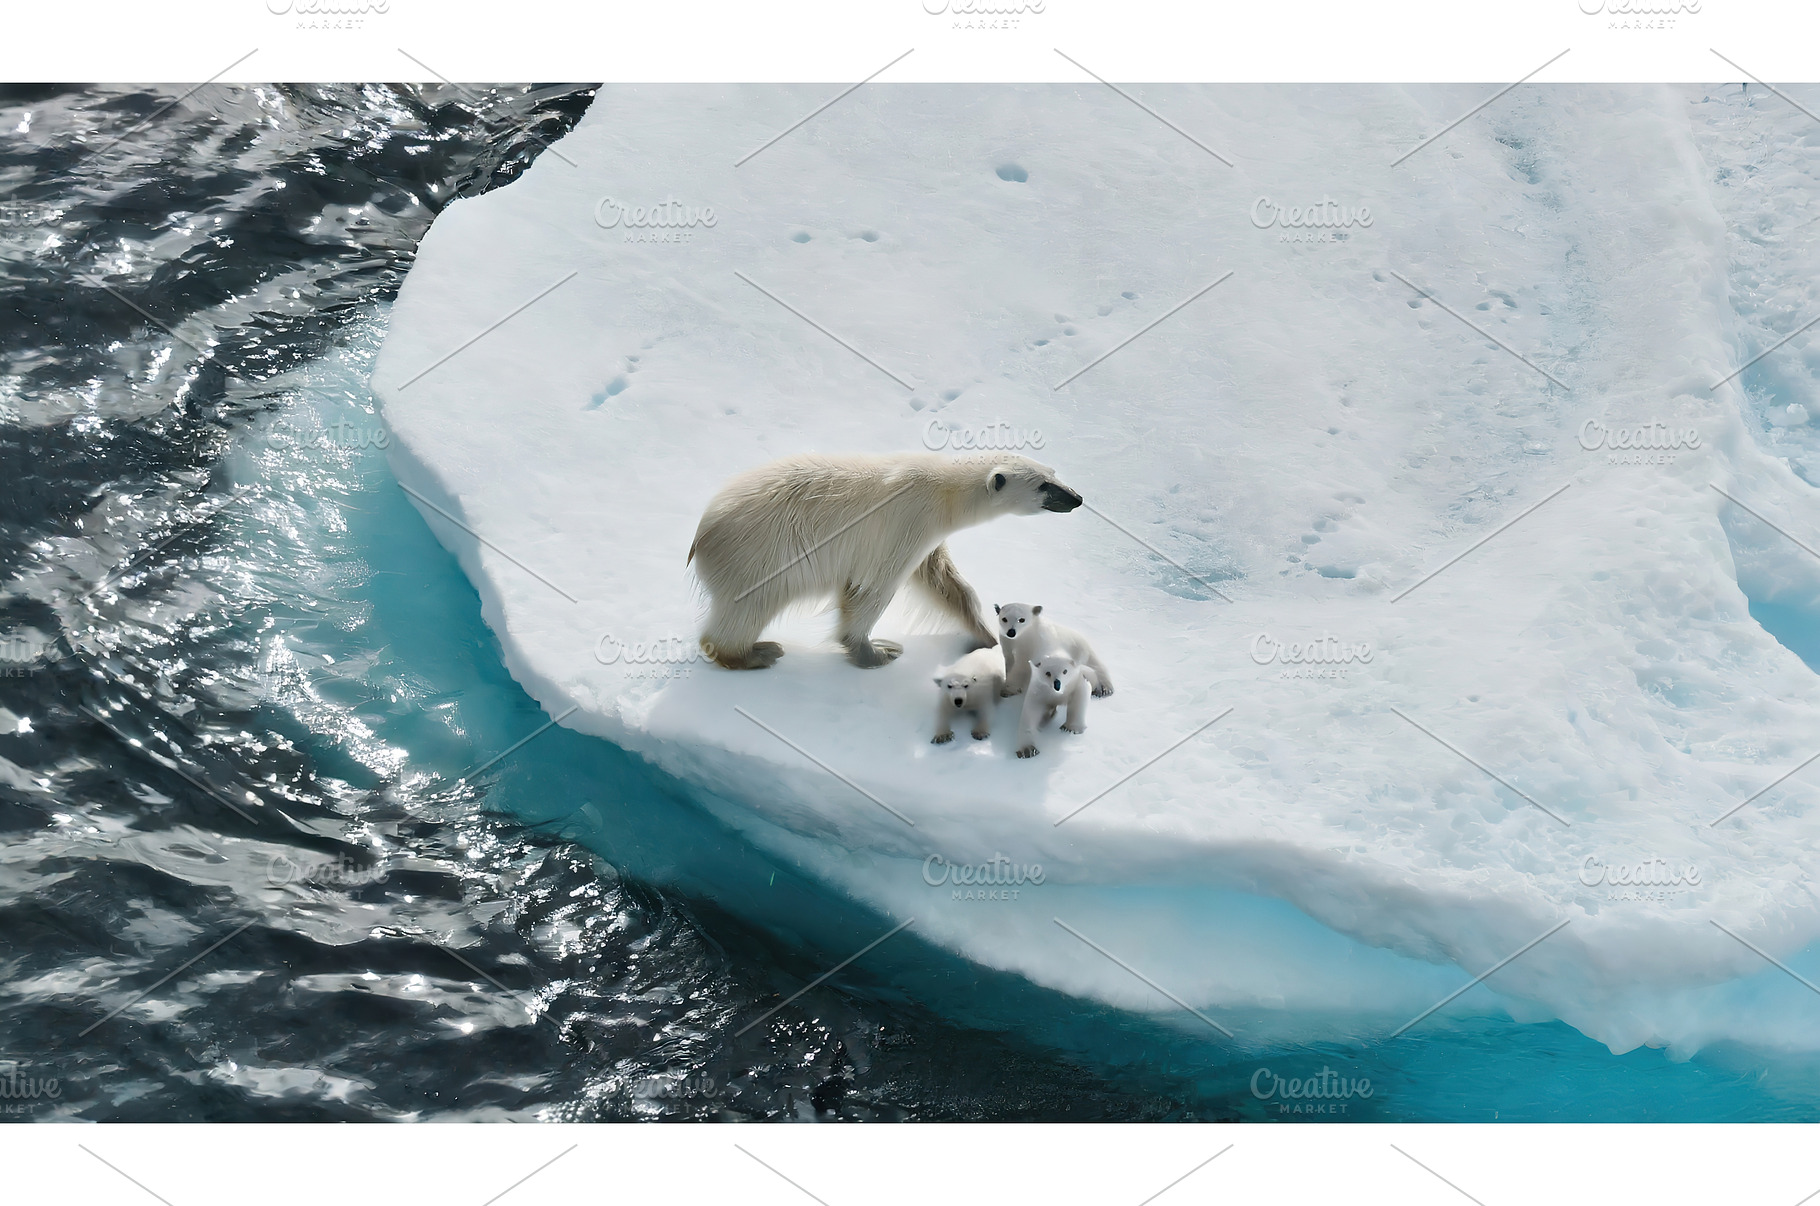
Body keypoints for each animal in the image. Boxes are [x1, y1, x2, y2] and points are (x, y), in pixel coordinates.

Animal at [688, 453, 1083, 670]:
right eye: (1043, 485)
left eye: (1053, 473)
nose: (1077, 498)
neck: (944, 490)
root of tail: (700, 539)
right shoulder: (905, 523)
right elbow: (873, 589)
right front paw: (877, 651)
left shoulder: (925, 535)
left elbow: (944, 581)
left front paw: (986, 637)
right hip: (760, 558)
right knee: (751, 606)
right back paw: (755, 653)